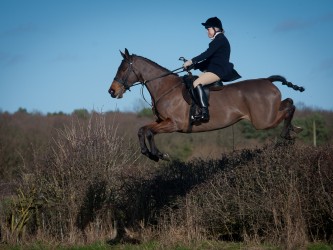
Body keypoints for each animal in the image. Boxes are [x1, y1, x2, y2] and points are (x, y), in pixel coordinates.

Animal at [108, 48, 304, 162]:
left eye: (123, 69)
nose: (112, 91)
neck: (165, 87)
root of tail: (268, 80)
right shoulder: (162, 121)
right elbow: (142, 130)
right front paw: (149, 153)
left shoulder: (174, 124)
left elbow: (149, 132)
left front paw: (159, 154)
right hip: (266, 117)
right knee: (288, 103)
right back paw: (293, 129)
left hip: (263, 121)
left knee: (289, 106)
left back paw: (287, 133)